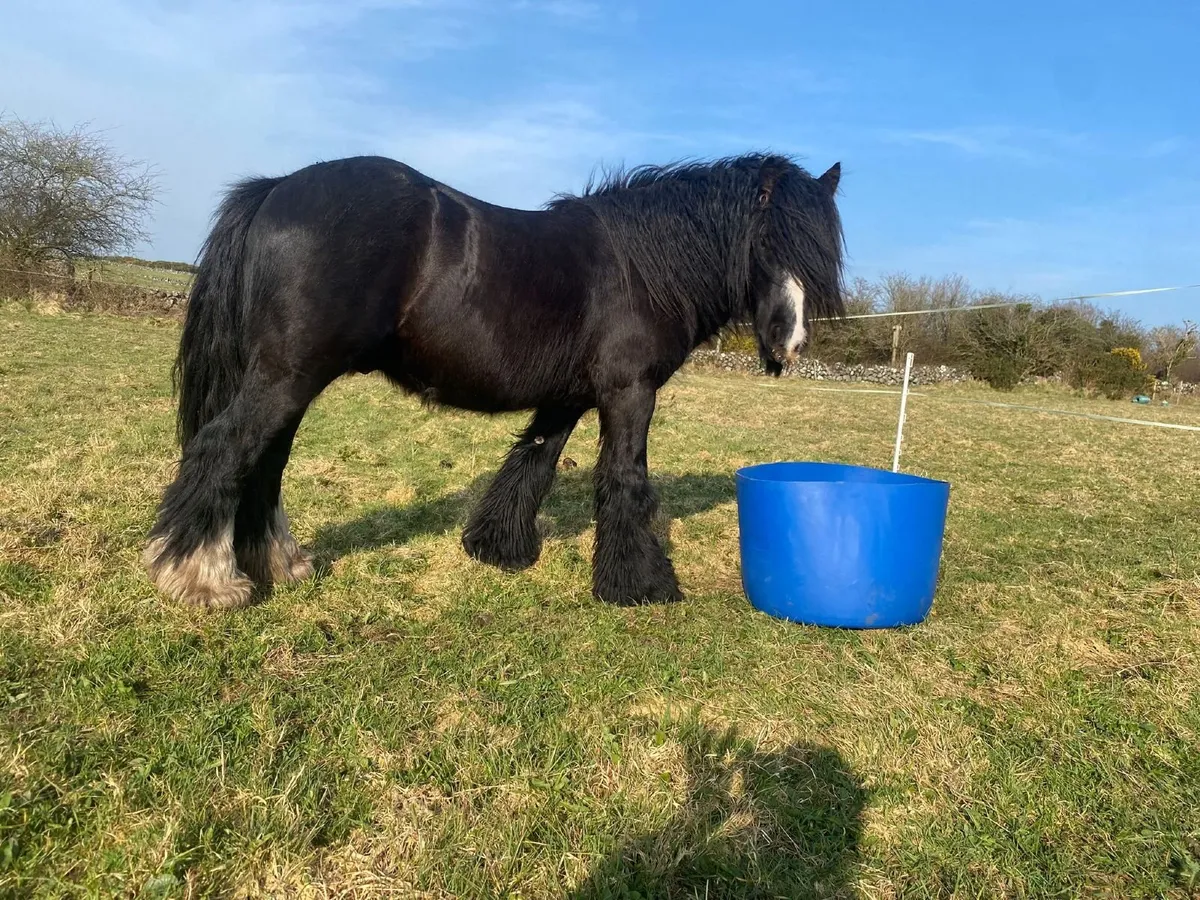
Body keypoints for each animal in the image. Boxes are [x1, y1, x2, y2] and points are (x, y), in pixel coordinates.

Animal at [143, 152, 847, 610]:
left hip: (289, 379)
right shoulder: (629, 392)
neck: (643, 266)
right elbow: (624, 480)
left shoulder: (568, 398)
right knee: (223, 449)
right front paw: (640, 587)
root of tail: (278, 187)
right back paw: (204, 580)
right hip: (287, 376)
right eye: (769, 241)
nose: (791, 343)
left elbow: (531, 463)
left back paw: (280, 565)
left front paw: (497, 548)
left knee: (262, 462)